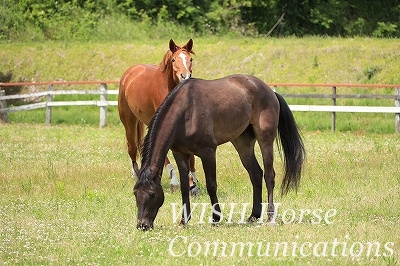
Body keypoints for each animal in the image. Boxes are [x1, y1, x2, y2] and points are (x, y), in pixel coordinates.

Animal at [119, 38, 200, 194]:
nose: (185, 76)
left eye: (190, 59)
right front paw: (176, 181)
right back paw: (137, 174)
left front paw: (193, 183)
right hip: (129, 124)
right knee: (132, 148)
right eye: (174, 59)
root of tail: (130, 72)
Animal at [133, 74, 304, 230]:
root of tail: (269, 90)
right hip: (242, 143)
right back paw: (253, 215)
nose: (142, 225)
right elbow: (184, 187)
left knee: (269, 175)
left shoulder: (208, 152)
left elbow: (211, 185)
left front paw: (216, 218)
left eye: (152, 194)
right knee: (255, 174)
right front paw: (184, 221)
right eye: (135, 193)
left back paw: (270, 216)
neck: (186, 111)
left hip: (265, 139)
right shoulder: (180, 154)